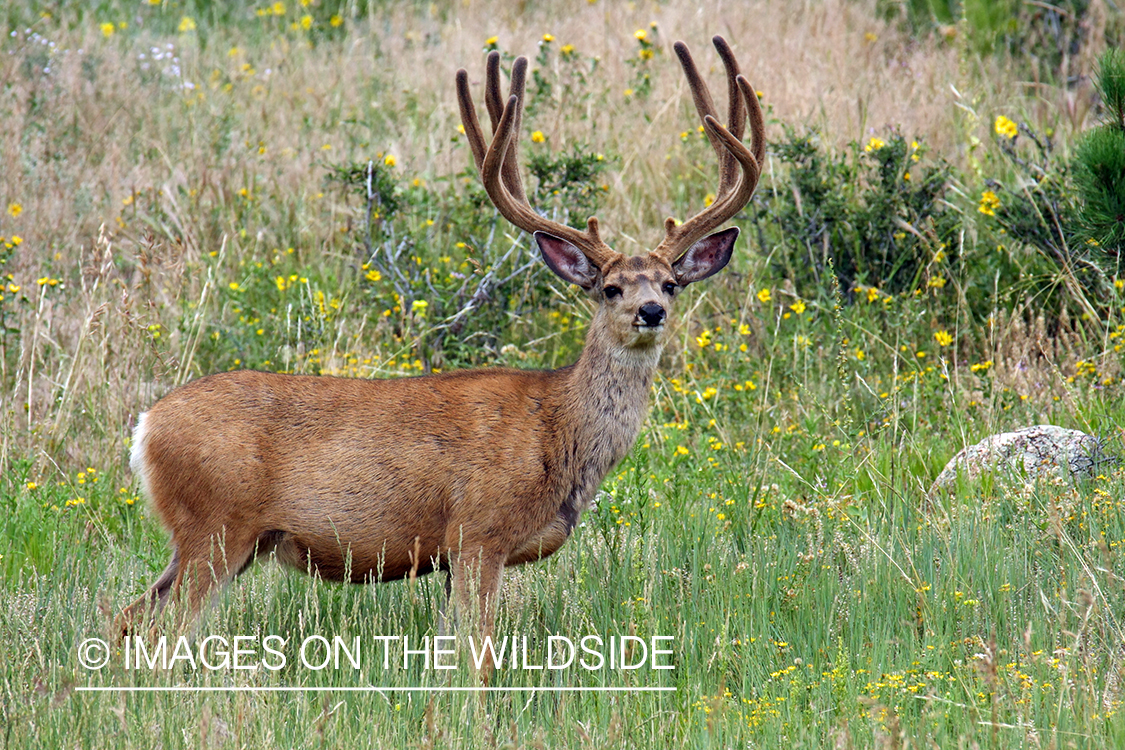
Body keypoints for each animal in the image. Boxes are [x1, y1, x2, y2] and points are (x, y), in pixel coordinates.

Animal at [117, 35, 764, 672]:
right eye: (609, 288)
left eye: (671, 284)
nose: (650, 312)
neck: (558, 429)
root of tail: (146, 427)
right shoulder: (477, 532)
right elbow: (477, 655)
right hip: (216, 525)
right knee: (160, 630)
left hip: (215, 539)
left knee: (125, 616)